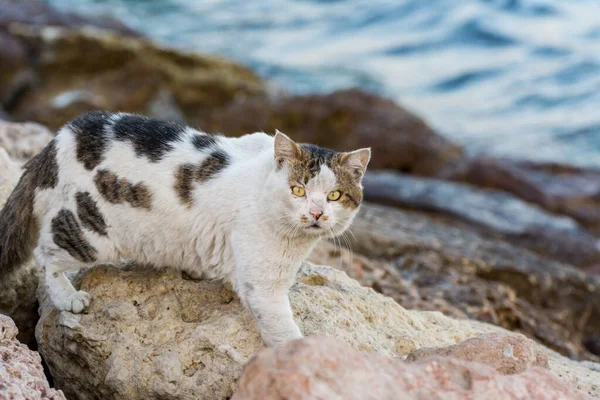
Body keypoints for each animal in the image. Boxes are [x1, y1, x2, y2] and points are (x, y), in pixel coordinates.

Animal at [0, 110, 370, 346]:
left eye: (334, 195)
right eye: (298, 190)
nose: (316, 213)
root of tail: (63, 137)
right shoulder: (264, 286)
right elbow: (284, 332)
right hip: (91, 231)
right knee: (45, 255)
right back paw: (68, 297)